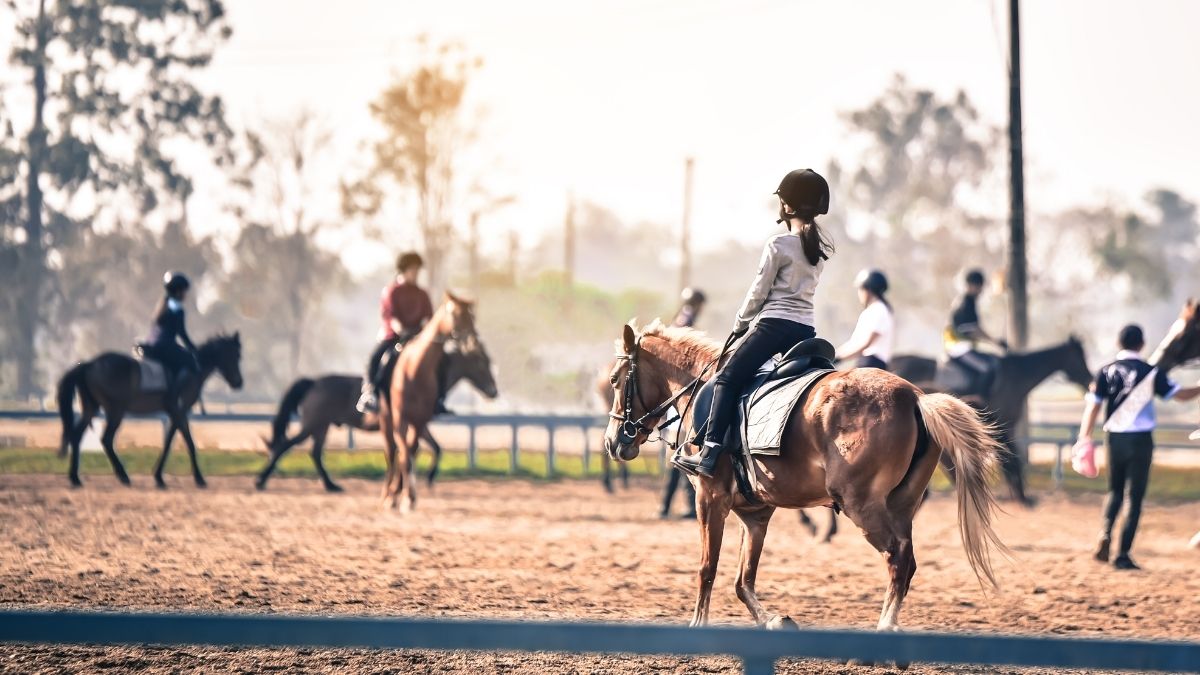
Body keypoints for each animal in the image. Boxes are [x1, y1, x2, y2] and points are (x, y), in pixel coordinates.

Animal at [56, 333, 244, 488]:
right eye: (235, 356)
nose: (238, 383)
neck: (194, 369)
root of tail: (90, 364)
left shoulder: (175, 413)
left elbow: (168, 442)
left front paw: (159, 477)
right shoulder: (179, 411)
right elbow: (189, 442)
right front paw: (199, 478)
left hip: (91, 409)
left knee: (77, 436)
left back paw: (75, 478)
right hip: (115, 411)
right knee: (107, 439)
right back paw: (123, 476)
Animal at [255, 340, 499, 492]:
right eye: (480, 363)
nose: (493, 391)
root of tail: (314, 382)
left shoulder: (419, 425)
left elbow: (434, 448)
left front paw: (420, 479)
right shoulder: (415, 424)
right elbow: (419, 449)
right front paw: (414, 480)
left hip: (321, 427)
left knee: (314, 453)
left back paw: (332, 486)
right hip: (313, 425)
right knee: (285, 446)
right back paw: (261, 480)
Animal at [381, 293, 478, 511]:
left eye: (473, 317)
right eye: (456, 315)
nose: (472, 342)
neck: (415, 370)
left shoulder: (420, 420)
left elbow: (411, 452)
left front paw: (408, 496)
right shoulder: (400, 418)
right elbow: (404, 455)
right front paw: (403, 496)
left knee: (405, 451)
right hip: (386, 418)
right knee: (391, 452)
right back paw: (388, 494)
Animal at [603, 320, 1007, 631]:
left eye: (614, 380)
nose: (612, 442)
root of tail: (915, 396)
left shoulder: (710, 499)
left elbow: (708, 568)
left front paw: (697, 626)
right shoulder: (755, 515)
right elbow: (742, 580)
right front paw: (773, 620)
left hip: (863, 506)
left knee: (897, 559)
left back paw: (885, 631)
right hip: (901, 506)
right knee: (907, 562)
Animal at [890, 337, 1093, 506]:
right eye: (1080, 357)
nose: (1090, 380)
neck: (1017, 376)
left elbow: (1011, 457)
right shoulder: (1004, 425)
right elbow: (1012, 457)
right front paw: (1017, 494)